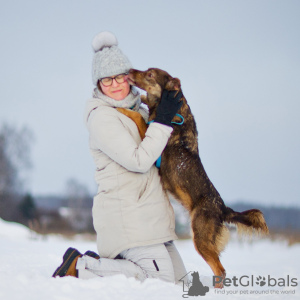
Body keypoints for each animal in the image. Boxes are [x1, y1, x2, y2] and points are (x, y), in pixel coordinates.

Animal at [116, 68, 268, 288]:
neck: (171, 112)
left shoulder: (151, 139)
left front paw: (123, 109)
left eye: (150, 74)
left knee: (220, 270)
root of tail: (224, 209)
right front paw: (140, 100)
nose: (129, 71)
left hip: (200, 238)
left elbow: (137, 117)